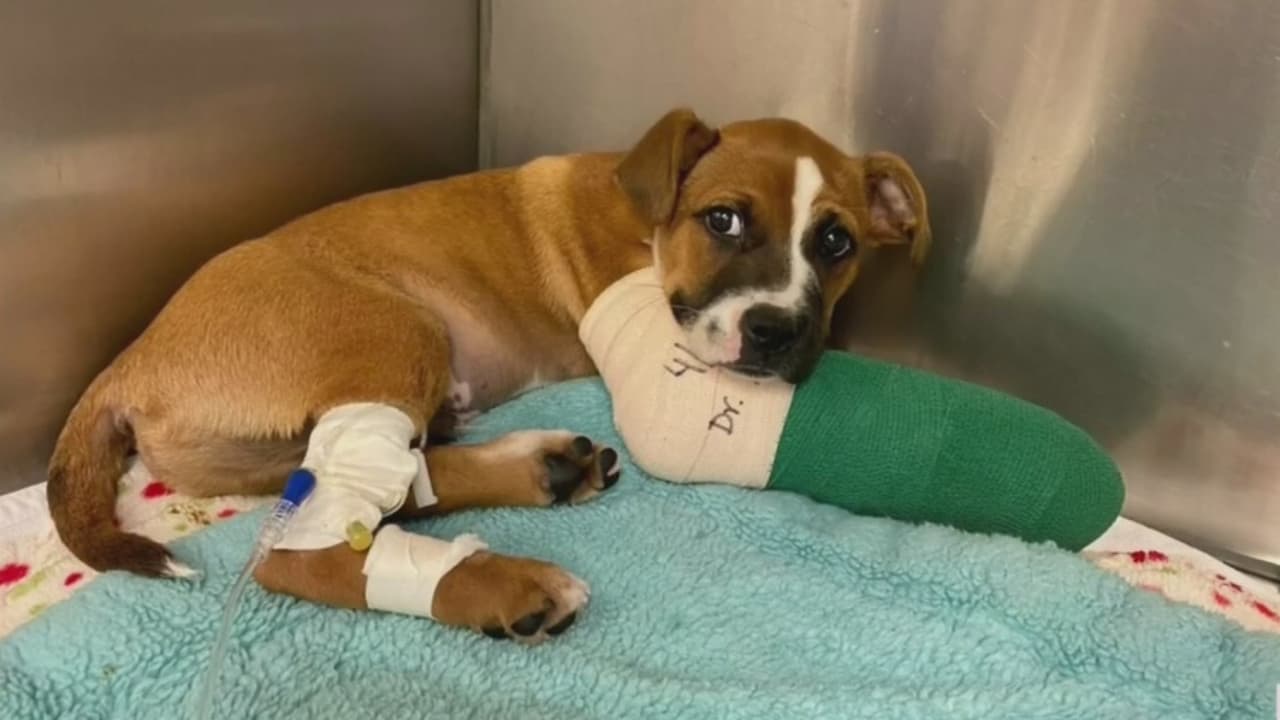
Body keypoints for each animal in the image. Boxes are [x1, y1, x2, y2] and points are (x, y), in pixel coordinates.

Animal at [47, 108, 929, 641]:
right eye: (724, 220)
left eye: (837, 242)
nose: (775, 333)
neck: (647, 221)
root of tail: (128, 362)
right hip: (397, 330)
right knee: (299, 552)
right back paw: (508, 588)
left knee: (392, 488)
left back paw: (546, 469)